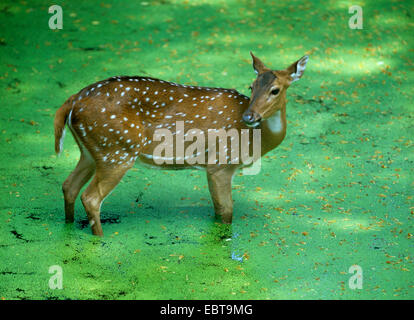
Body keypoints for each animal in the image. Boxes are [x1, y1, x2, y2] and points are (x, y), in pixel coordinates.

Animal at [54, 53, 308, 235]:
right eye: (251, 86)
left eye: (275, 90)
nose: (249, 116)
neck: (256, 140)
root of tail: (72, 101)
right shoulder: (220, 163)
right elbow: (226, 212)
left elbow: (219, 211)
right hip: (117, 150)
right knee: (91, 198)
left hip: (91, 152)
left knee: (69, 186)